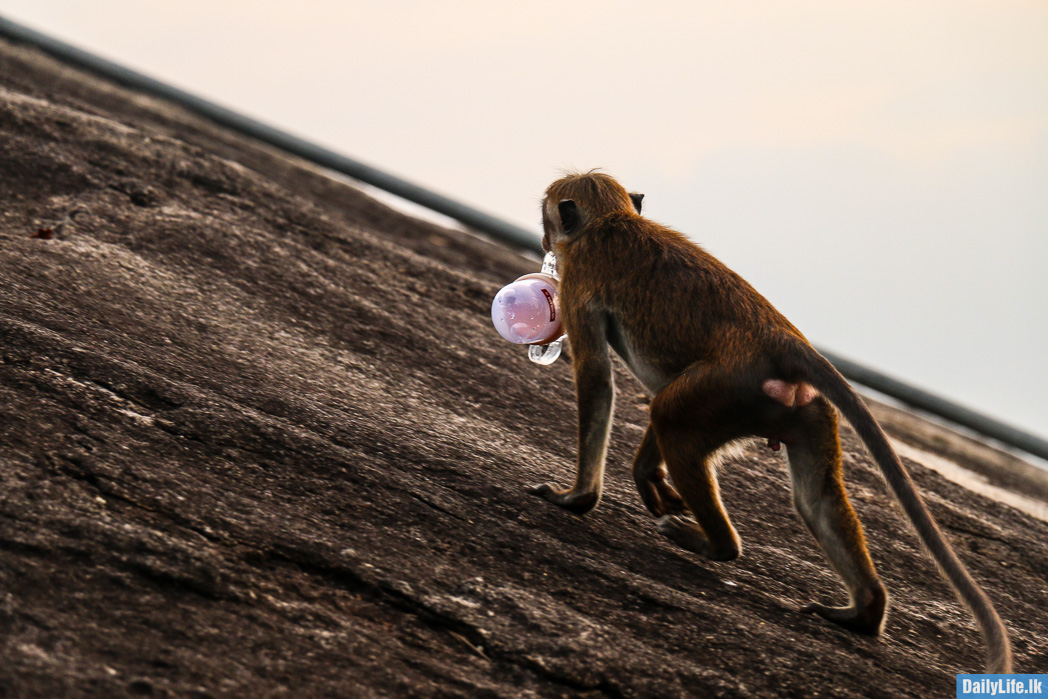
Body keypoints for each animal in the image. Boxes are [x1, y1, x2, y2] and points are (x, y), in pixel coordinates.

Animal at [527, 171, 1012, 673]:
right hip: (806, 410)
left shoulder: (578, 280)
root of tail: (781, 340)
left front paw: (576, 499)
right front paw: (648, 478)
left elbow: (597, 379)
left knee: (669, 415)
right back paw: (863, 611)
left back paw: (717, 545)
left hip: (726, 387)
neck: (609, 222)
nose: (543, 238)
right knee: (814, 498)